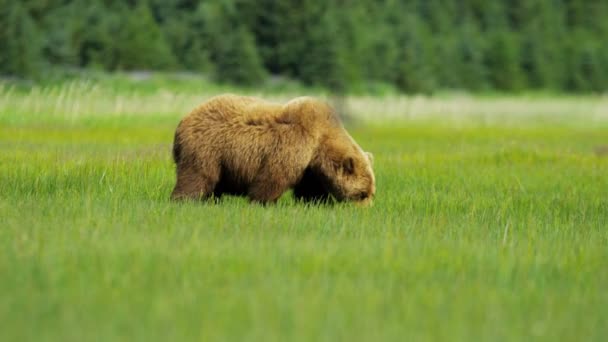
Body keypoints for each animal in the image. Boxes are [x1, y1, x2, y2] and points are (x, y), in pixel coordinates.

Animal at [170, 93, 376, 204]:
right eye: (362, 194)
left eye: (371, 192)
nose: (366, 209)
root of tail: (182, 121)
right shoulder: (293, 146)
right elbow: (271, 179)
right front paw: (262, 202)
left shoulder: (310, 168)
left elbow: (311, 190)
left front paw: (319, 203)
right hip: (206, 149)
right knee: (197, 178)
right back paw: (185, 200)